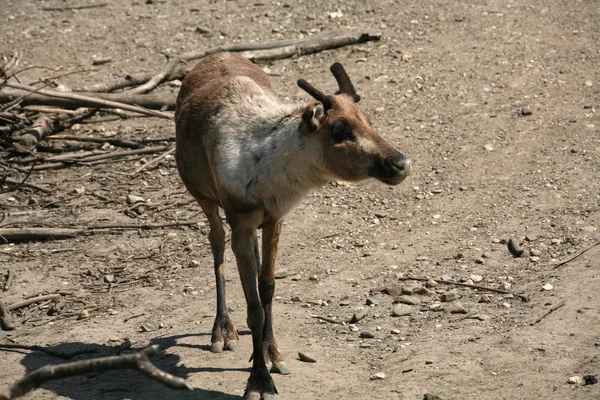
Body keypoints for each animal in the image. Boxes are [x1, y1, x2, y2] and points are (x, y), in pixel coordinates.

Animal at [175, 51, 412, 398]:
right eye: (339, 129)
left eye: (368, 121)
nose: (400, 163)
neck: (268, 169)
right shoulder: (241, 222)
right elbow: (254, 308)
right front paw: (259, 381)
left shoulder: (275, 217)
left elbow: (267, 288)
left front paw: (271, 354)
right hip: (201, 195)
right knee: (215, 242)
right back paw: (222, 331)